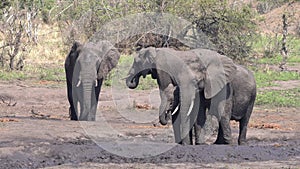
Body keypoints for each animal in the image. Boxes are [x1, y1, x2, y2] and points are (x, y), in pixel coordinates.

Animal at [126, 46, 255, 145]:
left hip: (252, 96)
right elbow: (198, 113)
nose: (133, 79)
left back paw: (238, 143)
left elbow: (221, 111)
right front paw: (197, 144)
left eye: (136, 62)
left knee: (244, 120)